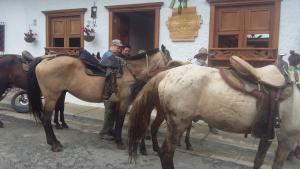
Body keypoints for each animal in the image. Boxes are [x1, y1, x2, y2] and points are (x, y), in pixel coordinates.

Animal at [27, 46, 172, 152]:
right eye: (169, 60)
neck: (129, 71)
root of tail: (45, 59)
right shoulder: (124, 101)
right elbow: (120, 121)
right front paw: (120, 142)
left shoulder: (117, 101)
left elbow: (115, 120)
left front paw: (114, 137)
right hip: (52, 97)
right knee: (46, 119)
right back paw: (55, 144)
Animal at [127, 62, 300, 169]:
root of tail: (166, 73)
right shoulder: (287, 139)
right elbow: (276, 164)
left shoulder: (267, 136)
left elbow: (258, 160)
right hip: (178, 123)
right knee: (166, 154)